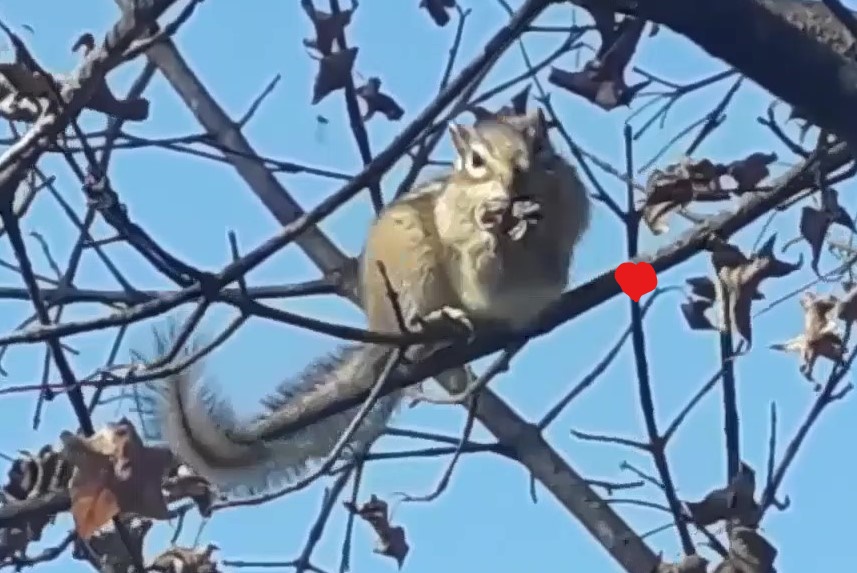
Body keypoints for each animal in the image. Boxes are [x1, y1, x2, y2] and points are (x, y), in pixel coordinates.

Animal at [145, 109, 588, 494]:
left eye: (541, 145)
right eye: (476, 160)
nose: (516, 180)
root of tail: (380, 326)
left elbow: (544, 266)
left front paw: (531, 220)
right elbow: (480, 267)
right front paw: (490, 225)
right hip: (411, 273)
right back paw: (437, 326)